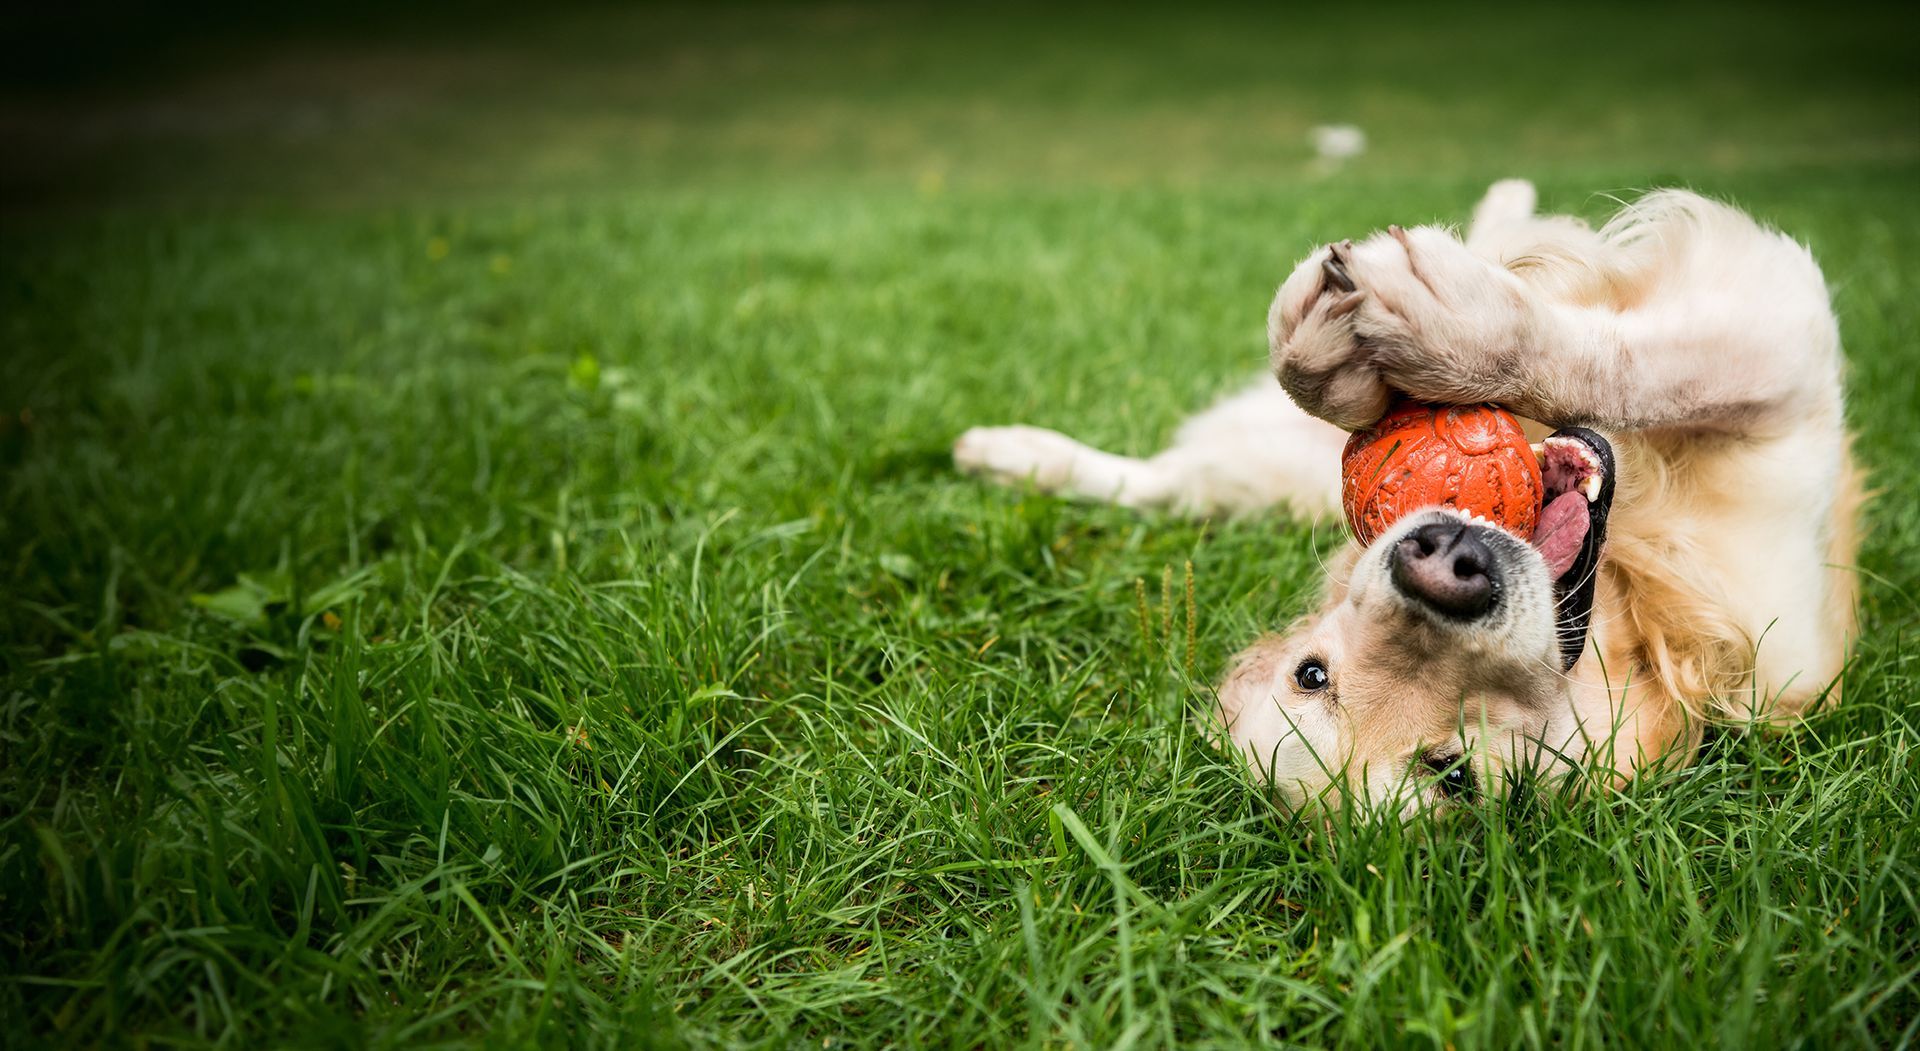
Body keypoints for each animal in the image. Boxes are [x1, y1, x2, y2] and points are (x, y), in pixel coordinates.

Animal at [956, 180, 1858, 818]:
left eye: (1310, 673)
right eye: (1451, 772)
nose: (1445, 565)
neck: (1632, 605)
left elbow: (1626, 362)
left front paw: (1429, 331)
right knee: (1169, 481)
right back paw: (1012, 457)